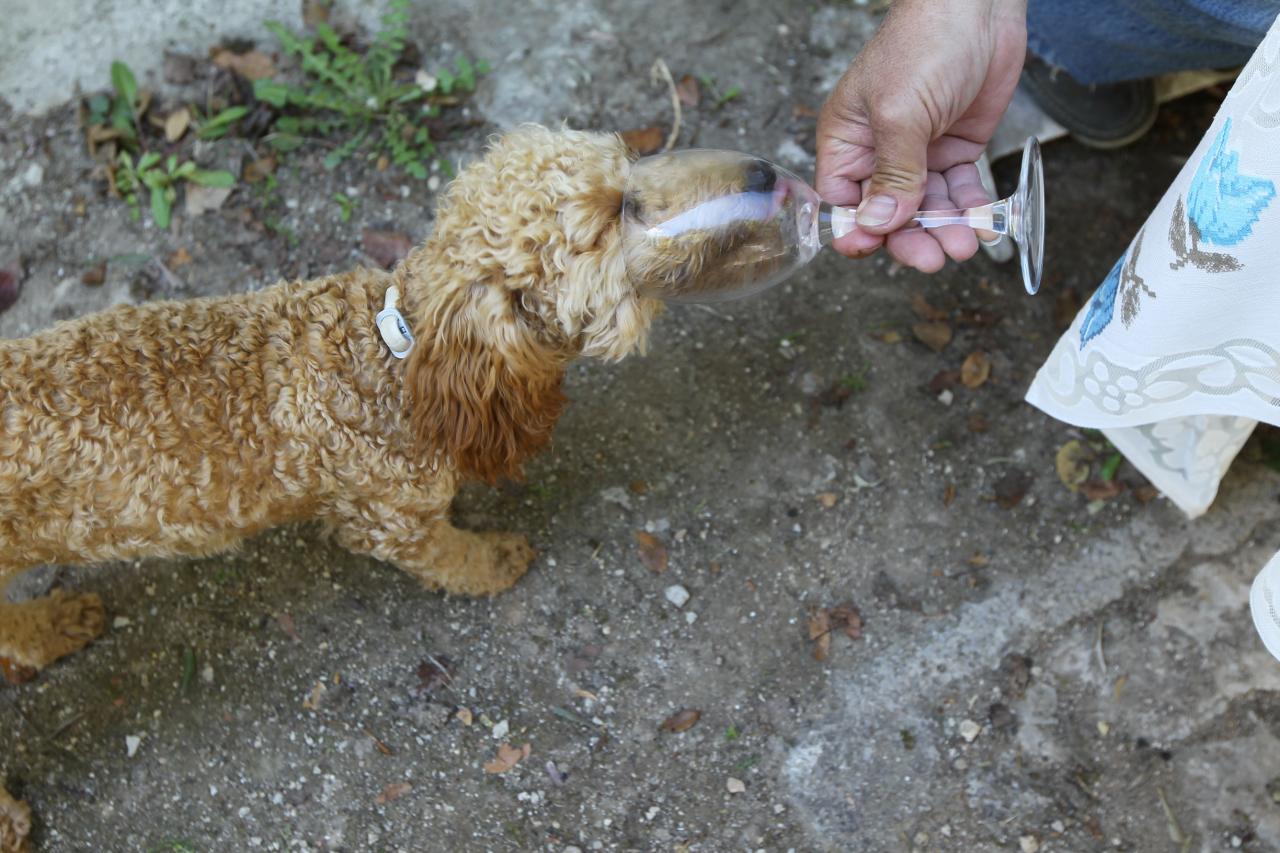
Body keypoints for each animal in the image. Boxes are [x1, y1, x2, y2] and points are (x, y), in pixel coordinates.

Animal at [0, 122, 778, 845]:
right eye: (616, 211)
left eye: (629, 168)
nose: (765, 174)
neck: (398, 352)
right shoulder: (391, 520)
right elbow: (450, 557)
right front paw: (496, 559)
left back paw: (59, 623)